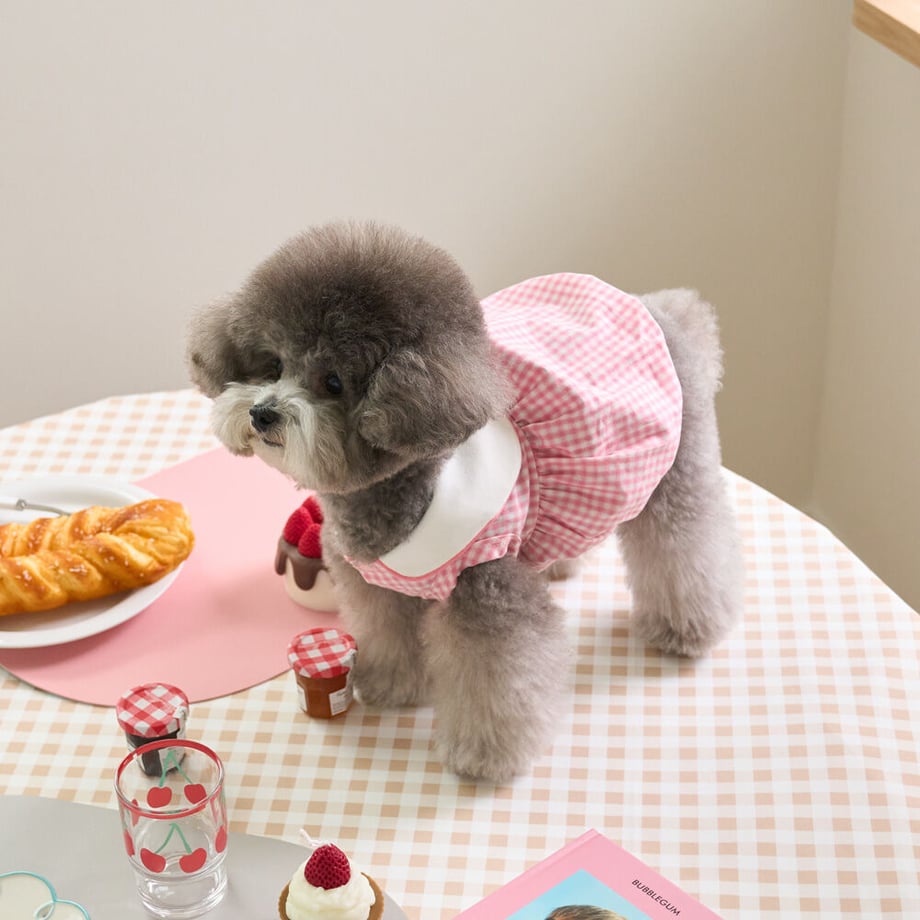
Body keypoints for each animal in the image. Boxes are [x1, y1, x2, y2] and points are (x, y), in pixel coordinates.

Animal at [187, 221, 743, 783]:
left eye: (334, 381)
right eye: (273, 363)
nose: (261, 413)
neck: (409, 486)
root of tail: (661, 310)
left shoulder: (486, 590)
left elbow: (495, 678)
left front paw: (485, 755)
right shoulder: (375, 585)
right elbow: (386, 632)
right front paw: (389, 684)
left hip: (677, 472)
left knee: (686, 545)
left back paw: (685, 628)